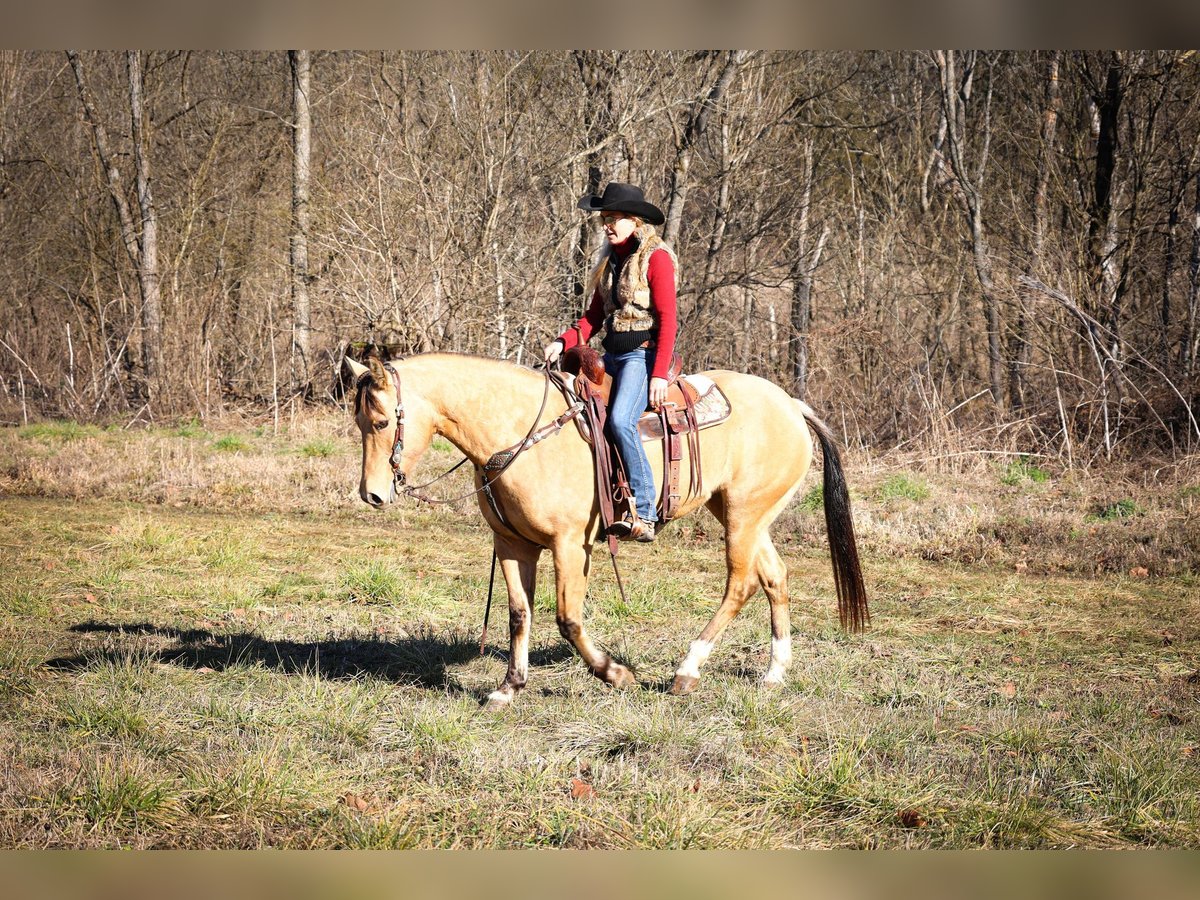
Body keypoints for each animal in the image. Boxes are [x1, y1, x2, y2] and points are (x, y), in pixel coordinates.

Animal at [343, 352, 868, 710]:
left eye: (383, 421)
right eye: (359, 420)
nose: (372, 495)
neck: (518, 433)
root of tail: (791, 403)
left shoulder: (570, 546)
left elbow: (568, 618)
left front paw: (615, 673)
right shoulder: (512, 544)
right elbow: (519, 614)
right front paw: (508, 688)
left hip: (743, 515)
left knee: (740, 584)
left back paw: (687, 670)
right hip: (744, 514)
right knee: (774, 576)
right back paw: (774, 672)